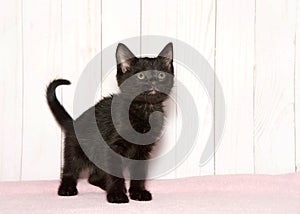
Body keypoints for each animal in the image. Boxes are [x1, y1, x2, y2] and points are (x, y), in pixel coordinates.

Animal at [46, 42, 173, 203]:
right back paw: (67, 188)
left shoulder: (143, 150)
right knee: (70, 168)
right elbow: (115, 171)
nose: (153, 81)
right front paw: (117, 194)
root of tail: (73, 122)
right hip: (76, 149)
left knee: (93, 177)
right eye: (141, 75)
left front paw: (138, 192)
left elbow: (139, 171)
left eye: (161, 75)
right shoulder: (113, 147)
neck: (144, 110)